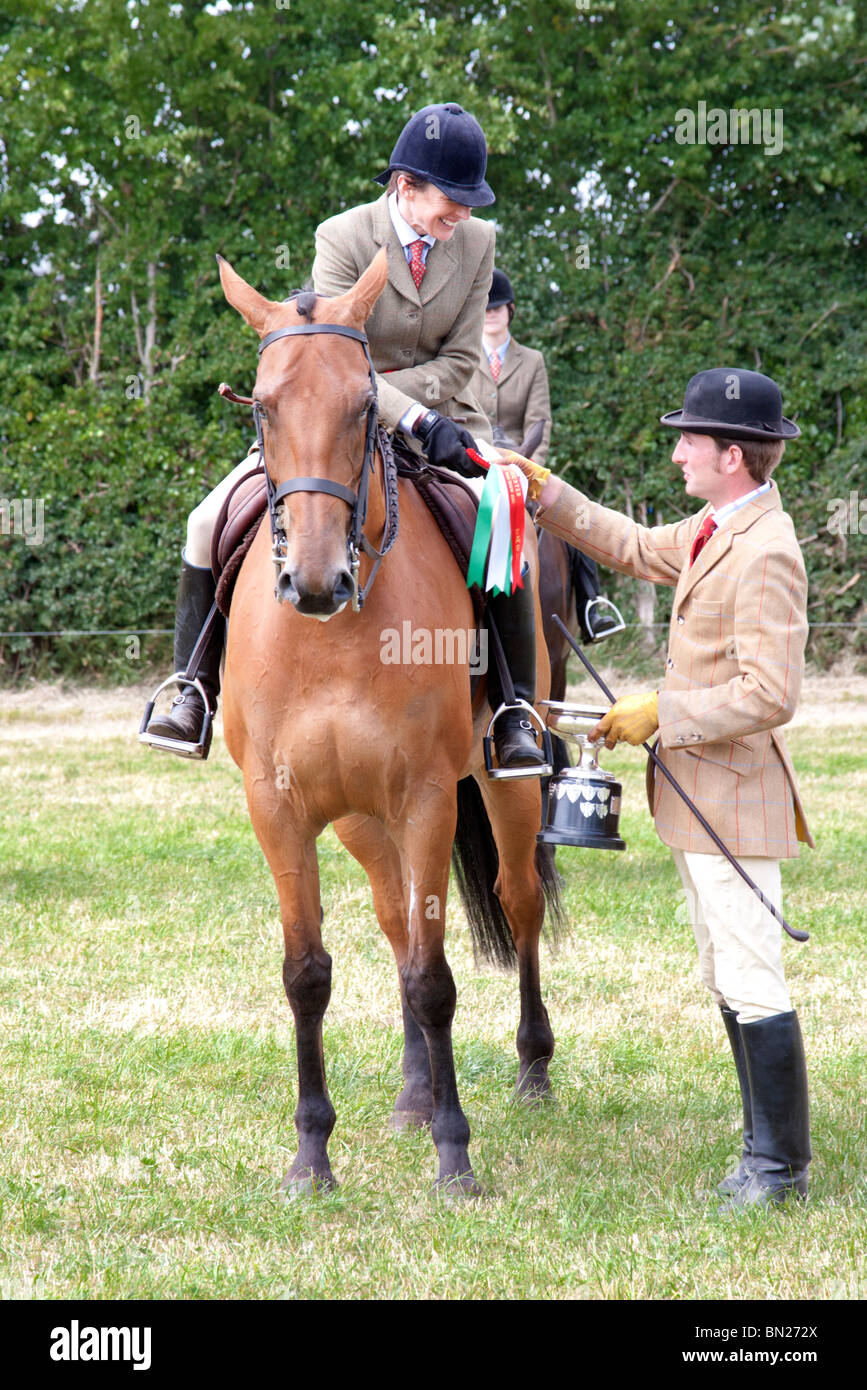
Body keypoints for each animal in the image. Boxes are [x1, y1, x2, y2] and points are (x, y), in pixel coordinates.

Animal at [213, 247, 558, 1195]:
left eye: (364, 403)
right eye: (263, 406)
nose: (315, 581)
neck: (331, 634)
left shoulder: (427, 800)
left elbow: (436, 980)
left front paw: (455, 1156)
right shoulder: (278, 807)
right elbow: (308, 975)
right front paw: (310, 1158)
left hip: (501, 789)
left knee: (516, 904)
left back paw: (532, 1068)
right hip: (362, 823)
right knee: (397, 925)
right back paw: (410, 1095)